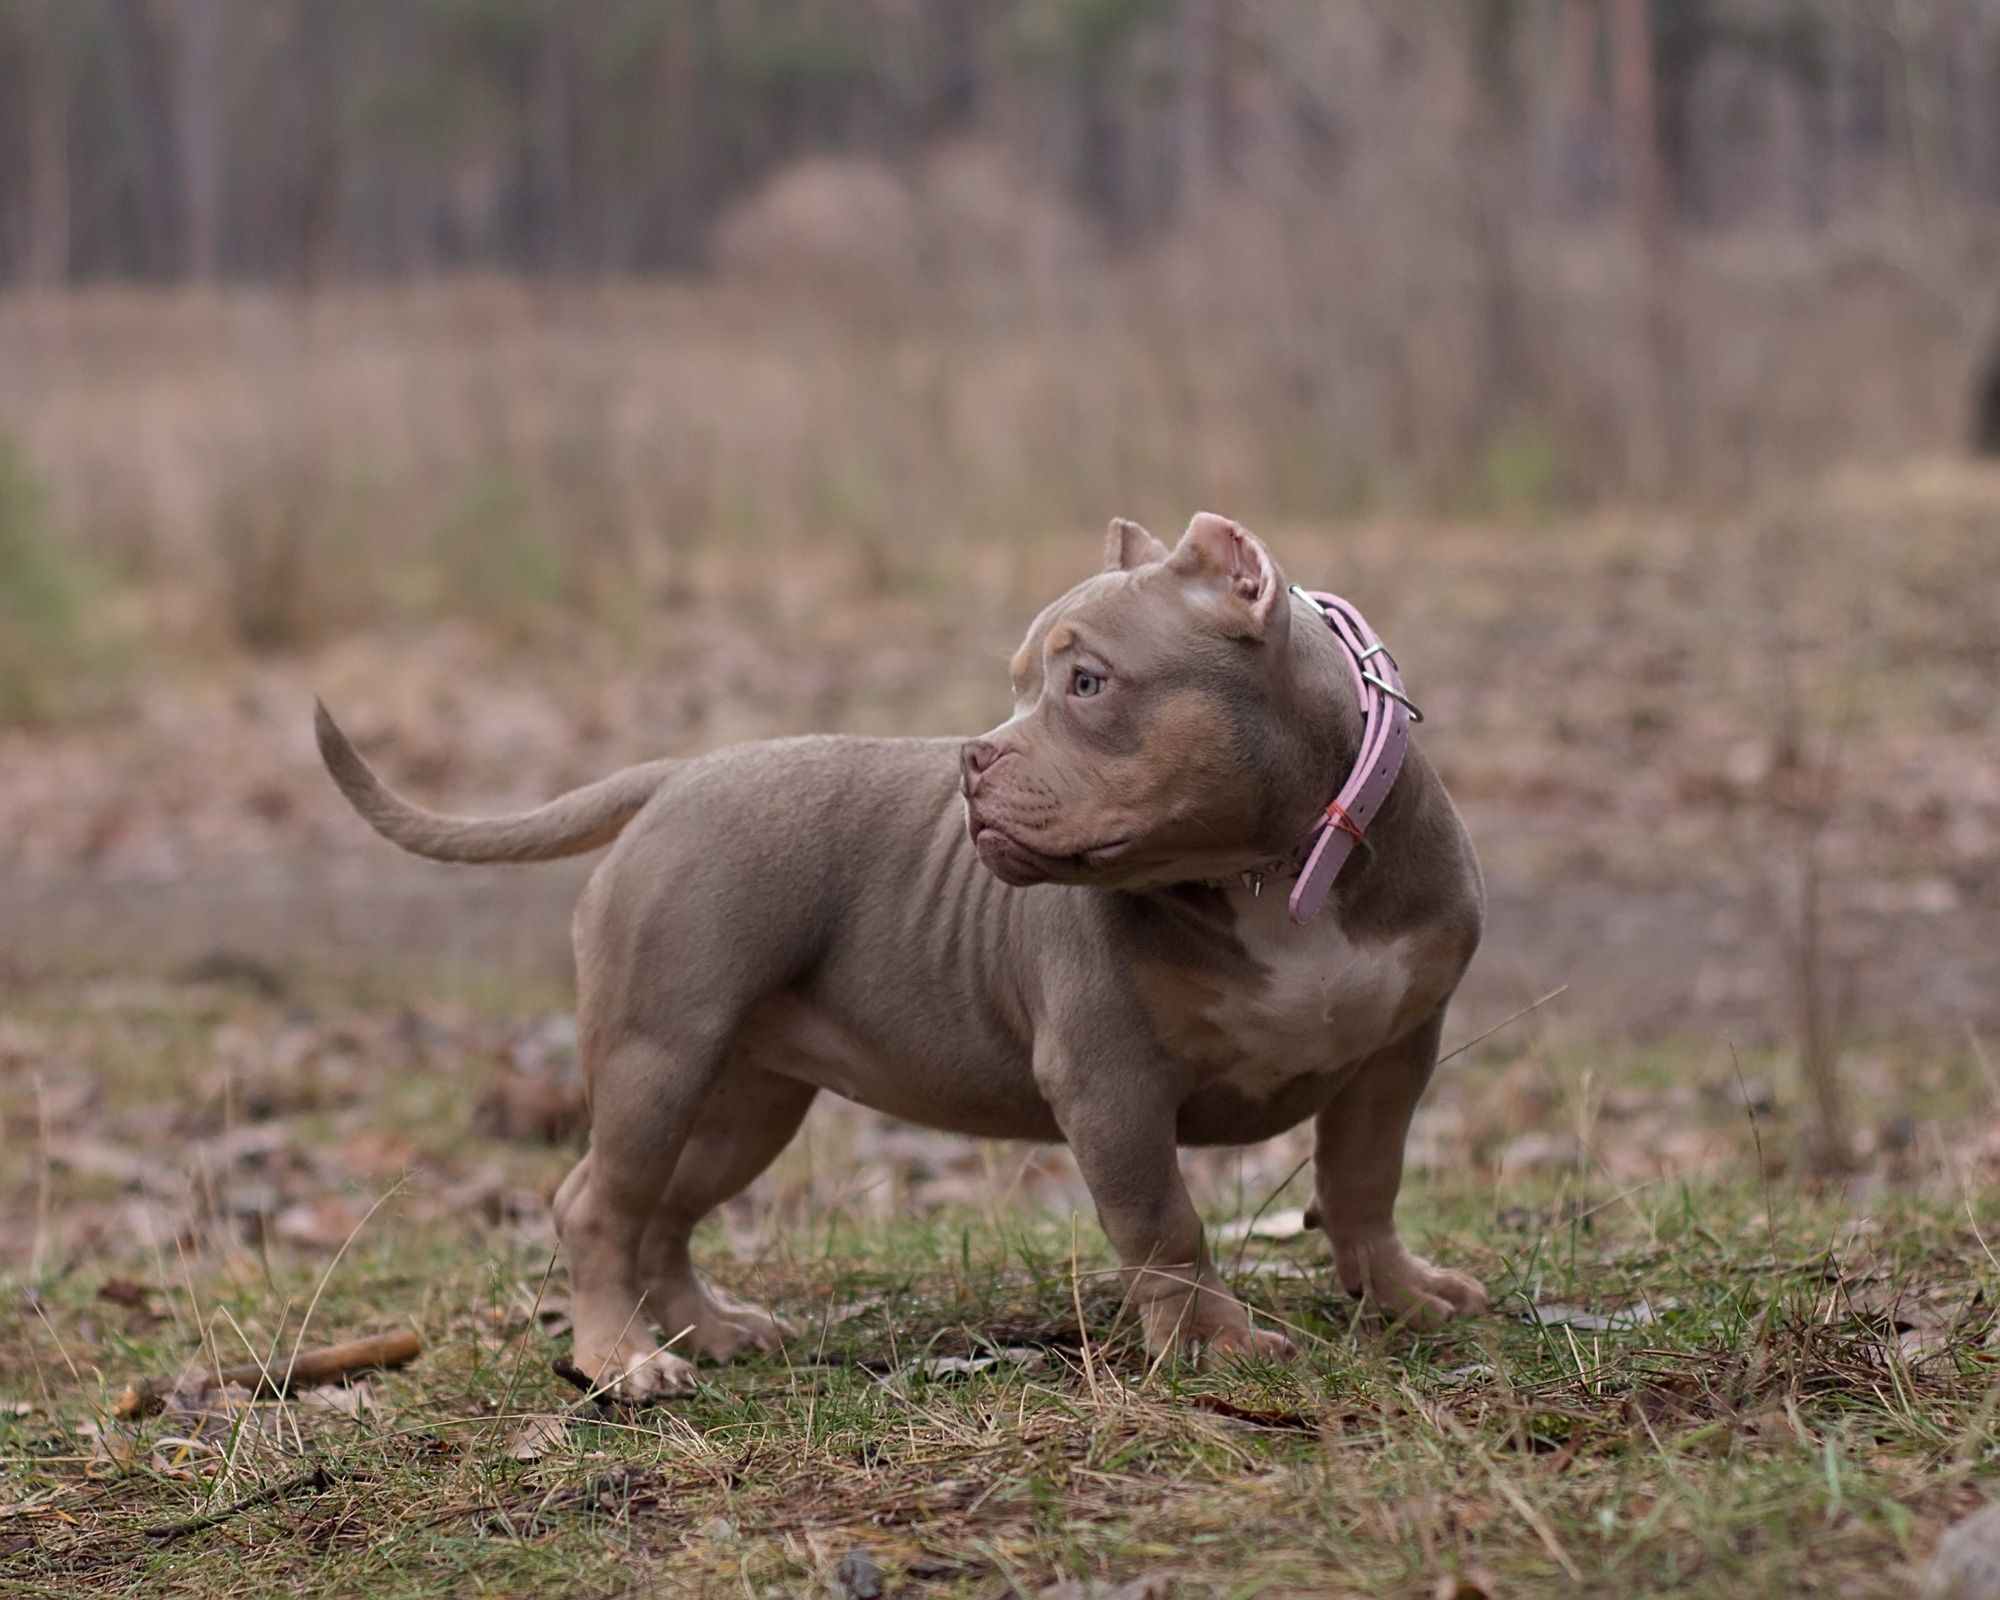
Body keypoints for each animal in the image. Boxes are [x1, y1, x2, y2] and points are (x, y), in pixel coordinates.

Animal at [316, 516, 1488, 1400]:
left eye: (1088, 684)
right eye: (1020, 687)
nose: (974, 759)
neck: (1271, 866)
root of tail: (673, 777)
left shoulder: (1396, 1052)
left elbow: (1365, 1178)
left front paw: (1401, 1296)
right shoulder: (1108, 1075)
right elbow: (1163, 1220)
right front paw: (1212, 1344)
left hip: (743, 1103)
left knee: (663, 1214)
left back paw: (709, 1329)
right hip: (660, 1057)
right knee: (598, 1204)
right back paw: (624, 1359)